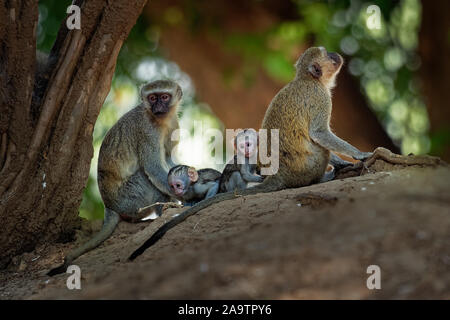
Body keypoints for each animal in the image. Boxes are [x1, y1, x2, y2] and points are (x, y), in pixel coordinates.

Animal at [48, 79, 183, 276]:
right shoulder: (147, 131)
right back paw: (163, 210)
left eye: (164, 97)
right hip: (129, 199)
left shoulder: (173, 125)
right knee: (145, 177)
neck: (161, 120)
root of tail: (109, 205)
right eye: (152, 98)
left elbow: (168, 160)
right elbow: (152, 166)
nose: (158, 106)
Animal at [129, 46, 372, 258]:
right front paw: (360, 155)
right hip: (306, 168)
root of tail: (280, 175)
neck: (307, 79)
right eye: (327, 55)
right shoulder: (320, 98)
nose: (335, 54)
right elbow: (319, 133)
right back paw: (322, 177)